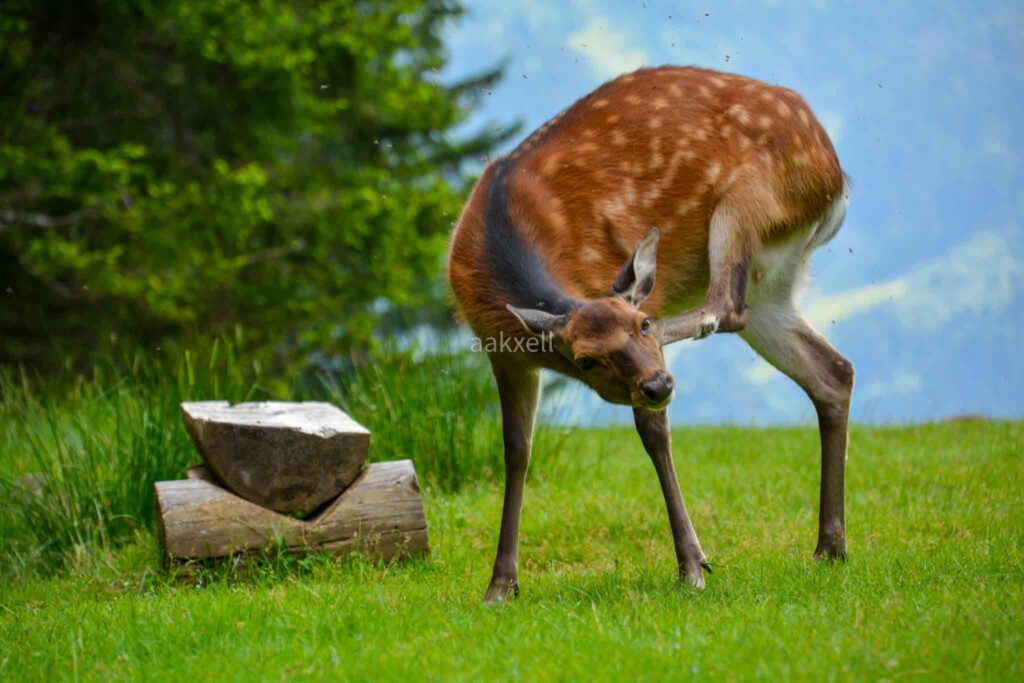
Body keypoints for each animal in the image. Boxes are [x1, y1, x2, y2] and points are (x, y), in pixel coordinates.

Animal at [447, 66, 853, 604]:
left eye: (638, 325)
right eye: (584, 360)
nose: (658, 383)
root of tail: (835, 172)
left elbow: (654, 435)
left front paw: (693, 565)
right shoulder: (504, 354)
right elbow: (517, 452)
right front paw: (500, 585)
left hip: (749, 203)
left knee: (727, 305)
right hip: (775, 280)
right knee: (833, 371)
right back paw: (831, 546)